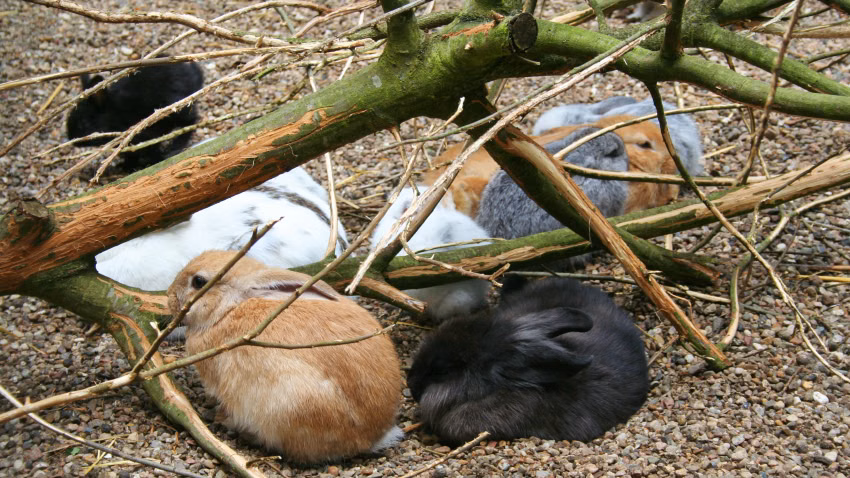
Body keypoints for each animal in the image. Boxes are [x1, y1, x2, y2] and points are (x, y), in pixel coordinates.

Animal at [66, 60, 204, 172]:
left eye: (84, 123)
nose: (72, 141)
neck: (112, 115)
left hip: (179, 110)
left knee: (191, 122)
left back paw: (174, 148)